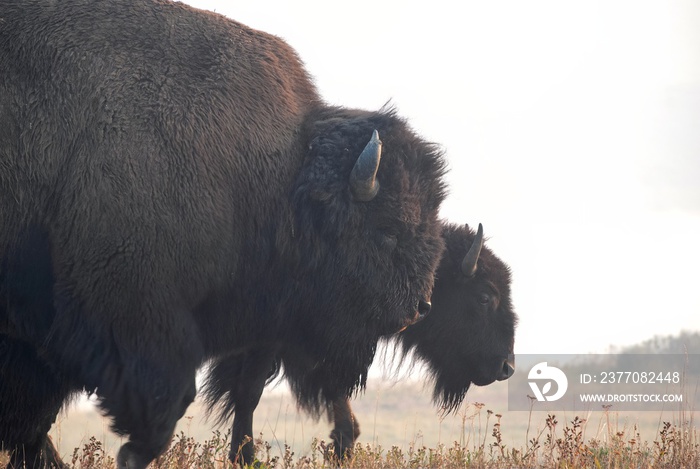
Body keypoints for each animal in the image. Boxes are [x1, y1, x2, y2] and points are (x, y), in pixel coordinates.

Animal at [0, 1, 446, 466]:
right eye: (388, 230)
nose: (420, 307)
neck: (277, 177)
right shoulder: (134, 310)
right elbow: (164, 400)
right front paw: (130, 453)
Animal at [205, 221, 516, 462]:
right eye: (484, 296)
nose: (507, 367)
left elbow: (344, 416)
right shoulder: (271, 343)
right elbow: (248, 394)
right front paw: (244, 458)